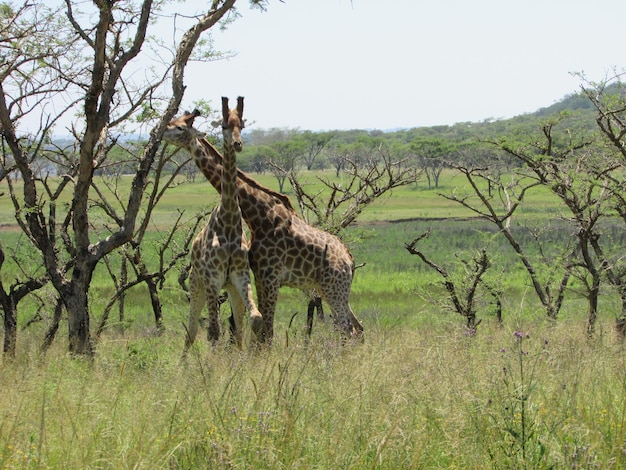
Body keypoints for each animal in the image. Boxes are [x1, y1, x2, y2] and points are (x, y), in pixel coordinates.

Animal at [162, 95, 262, 352]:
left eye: (241, 125)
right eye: (224, 125)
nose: (237, 144)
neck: (229, 221)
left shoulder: (239, 277)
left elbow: (254, 320)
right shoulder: (211, 280)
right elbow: (213, 331)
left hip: (231, 290)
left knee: (236, 327)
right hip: (196, 285)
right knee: (192, 330)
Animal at [166, 110, 364, 346]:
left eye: (180, 127)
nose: (160, 131)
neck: (257, 215)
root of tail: (349, 259)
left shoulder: (269, 275)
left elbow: (266, 330)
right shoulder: (260, 275)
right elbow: (260, 329)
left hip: (333, 287)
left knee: (347, 329)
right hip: (335, 289)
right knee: (358, 327)